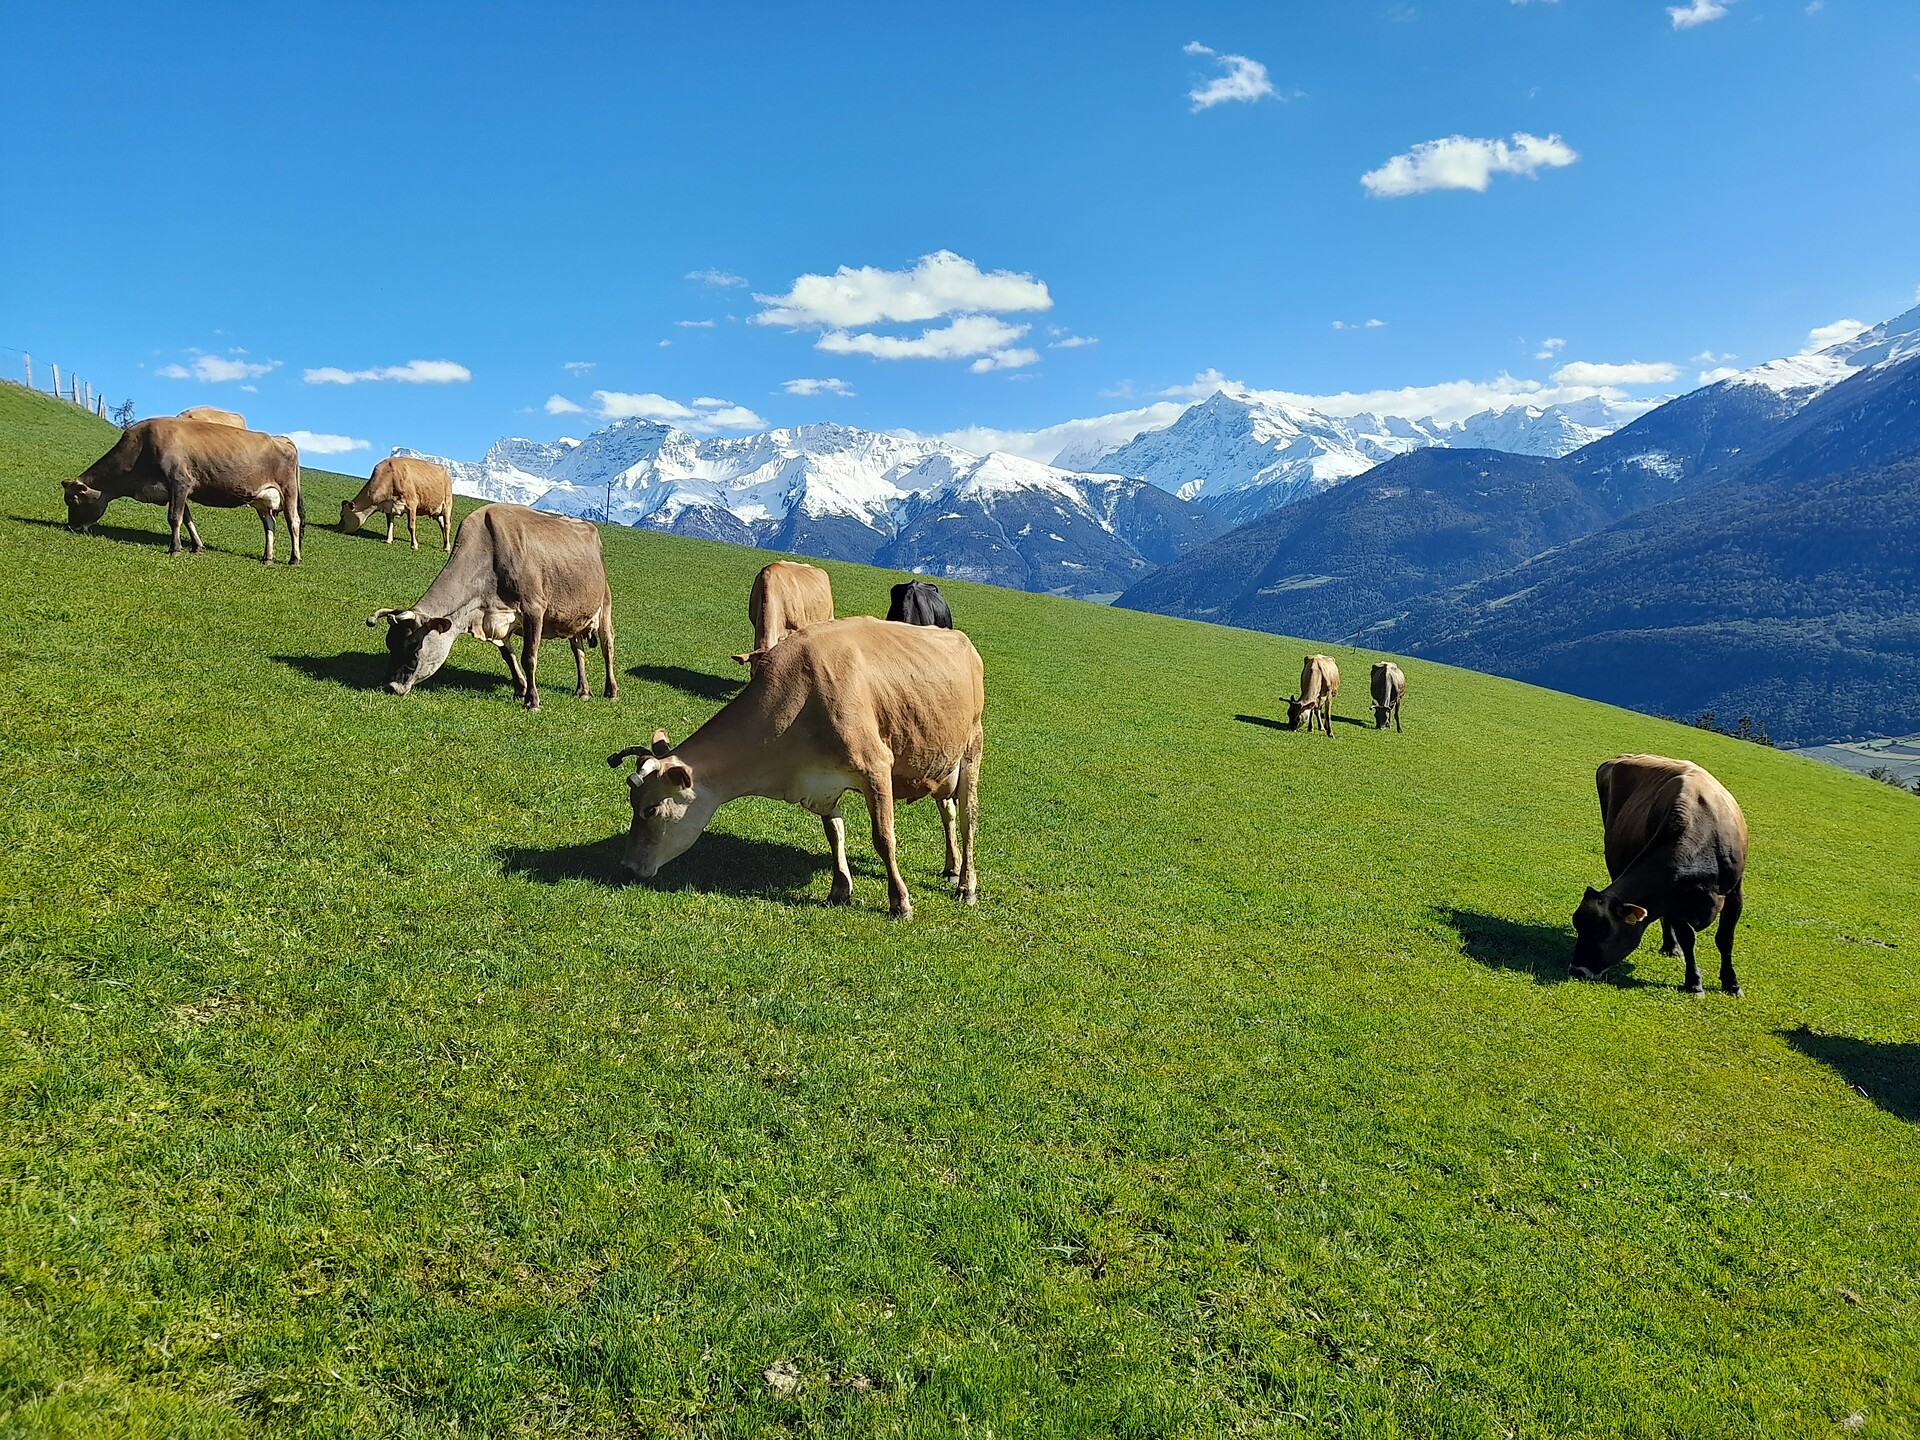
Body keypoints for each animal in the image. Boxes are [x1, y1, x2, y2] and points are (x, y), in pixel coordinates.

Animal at [61, 417, 303, 564]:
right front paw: (197, 546)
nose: (71, 527)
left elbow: (174, 517)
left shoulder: (179, 482)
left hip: (288, 490)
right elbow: (187, 518)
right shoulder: (176, 490)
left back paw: (294, 559)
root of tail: (281, 438)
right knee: (270, 525)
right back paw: (267, 558)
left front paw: (175, 548)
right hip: (262, 499)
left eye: (73, 500)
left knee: (293, 522)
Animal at [366, 502, 616, 709]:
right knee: (578, 649)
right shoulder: (493, 618)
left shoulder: (534, 609)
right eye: (390, 644)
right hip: (575, 616)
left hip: (604, 605)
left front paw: (532, 700)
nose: (391, 686)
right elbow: (509, 656)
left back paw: (611, 690)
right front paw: (520, 688)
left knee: (607, 646)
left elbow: (529, 657)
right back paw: (583, 690)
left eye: (414, 646)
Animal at [612, 616, 984, 919]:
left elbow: (883, 838)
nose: (627, 867)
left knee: (968, 818)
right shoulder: (821, 785)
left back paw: (966, 885)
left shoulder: (876, 766)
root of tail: (958, 637)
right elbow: (834, 833)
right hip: (939, 761)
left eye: (650, 809)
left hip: (972, 748)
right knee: (948, 811)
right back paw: (951, 867)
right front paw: (840, 889)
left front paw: (900, 902)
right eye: (632, 804)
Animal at [1572, 754, 1748, 996]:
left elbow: (1725, 939)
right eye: (1577, 924)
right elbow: (1687, 937)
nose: (1576, 970)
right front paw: (1694, 982)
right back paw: (1670, 946)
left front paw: (1731, 983)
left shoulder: (1735, 891)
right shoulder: (1671, 898)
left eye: (1602, 929)